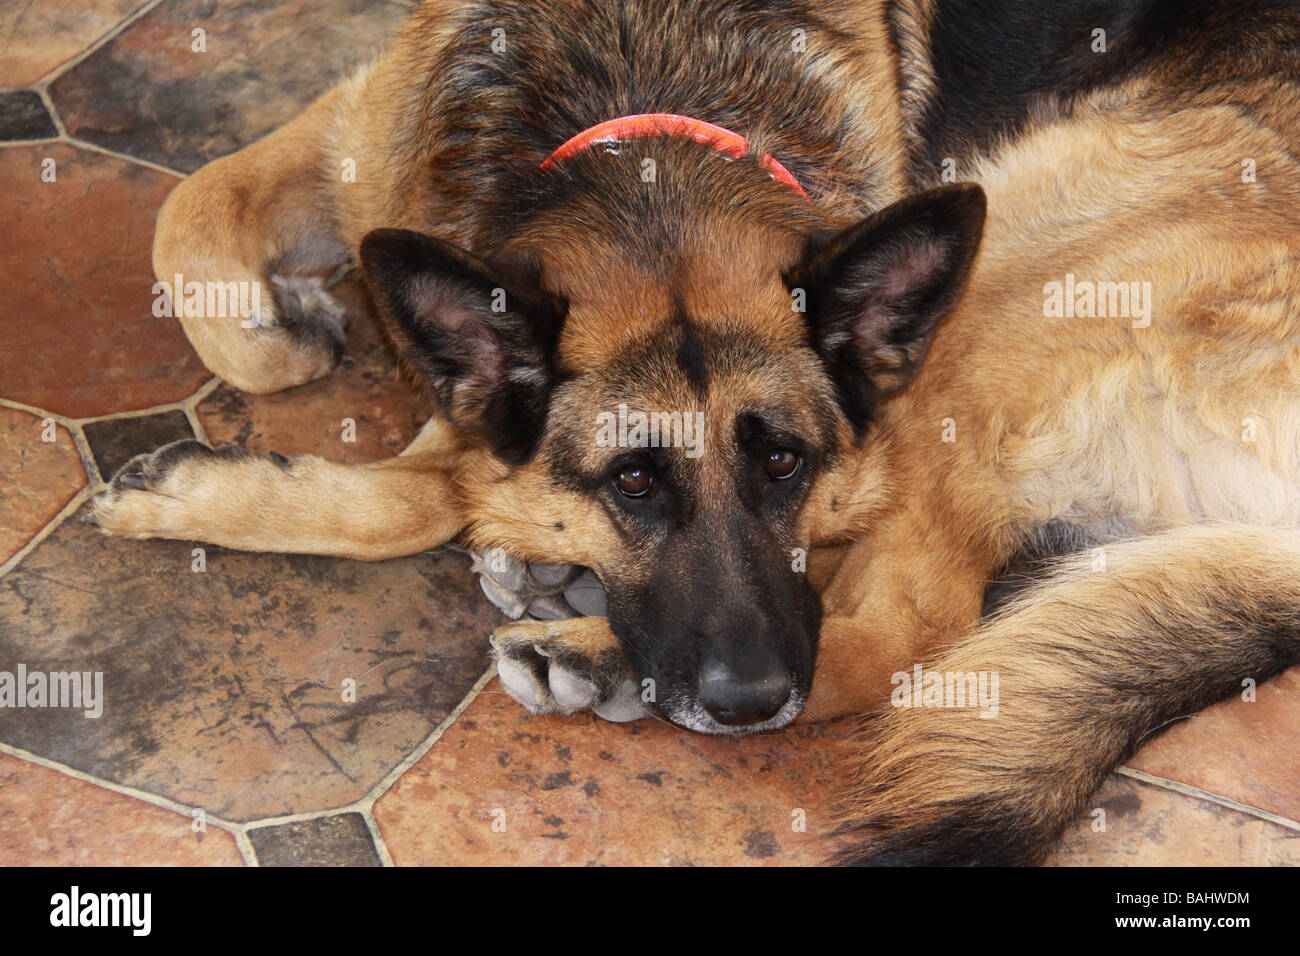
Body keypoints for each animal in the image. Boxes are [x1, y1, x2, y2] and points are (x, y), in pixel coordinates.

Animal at [86, 0, 1300, 868]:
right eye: (634, 481)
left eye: (785, 461)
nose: (750, 698)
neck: (640, 94)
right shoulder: (358, 132)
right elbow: (192, 226)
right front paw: (285, 330)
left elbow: (438, 484)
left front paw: (202, 492)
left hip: (1012, 264)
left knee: (914, 625)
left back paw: (591, 650)